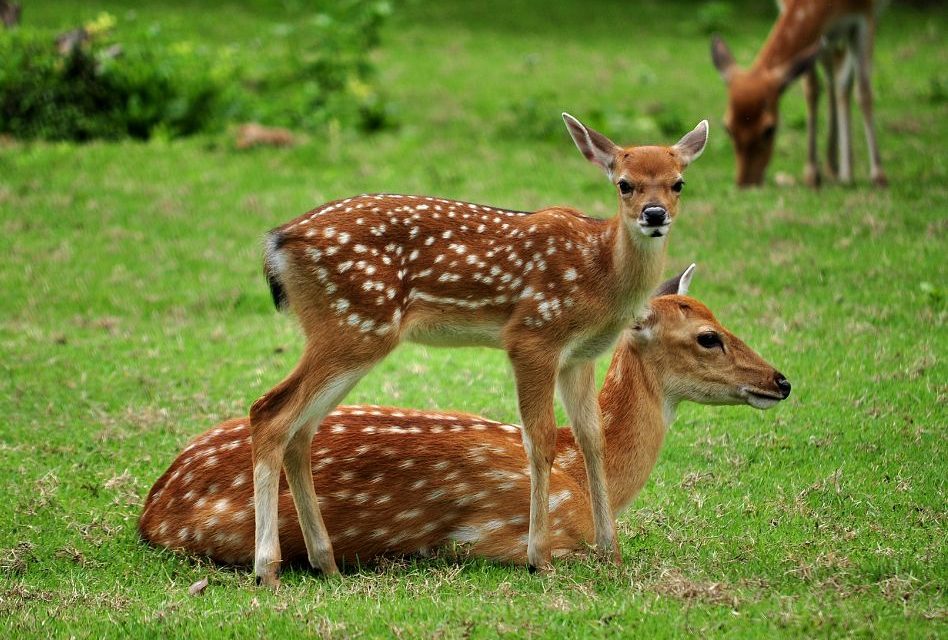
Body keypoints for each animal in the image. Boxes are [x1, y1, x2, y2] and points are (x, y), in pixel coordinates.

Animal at [140, 266, 792, 568]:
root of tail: (150, 509)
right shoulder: (513, 535)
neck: (582, 476)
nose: (780, 381)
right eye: (708, 337)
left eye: (719, 318)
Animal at [249, 113, 709, 586]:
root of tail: (278, 242)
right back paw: (267, 568)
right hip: (354, 324)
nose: (654, 215)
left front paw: (610, 553)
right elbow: (540, 440)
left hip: (346, 330)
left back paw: (325, 562)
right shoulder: (533, 335)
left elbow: (591, 438)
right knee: (270, 411)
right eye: (624, 184)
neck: (600, 272)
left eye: (678, 183)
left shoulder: (579, 357)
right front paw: (539, 557)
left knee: (300, 430)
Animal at [711, 0, 886, 188]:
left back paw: (846, 172)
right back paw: (832, 167)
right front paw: (811, 173)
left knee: (842, 79)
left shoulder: (866, 16)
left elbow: (863, 92)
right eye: (727, 127)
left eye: (769, 130)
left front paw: (878, 175)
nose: (745, 183)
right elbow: (810, 88)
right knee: (832, 75)